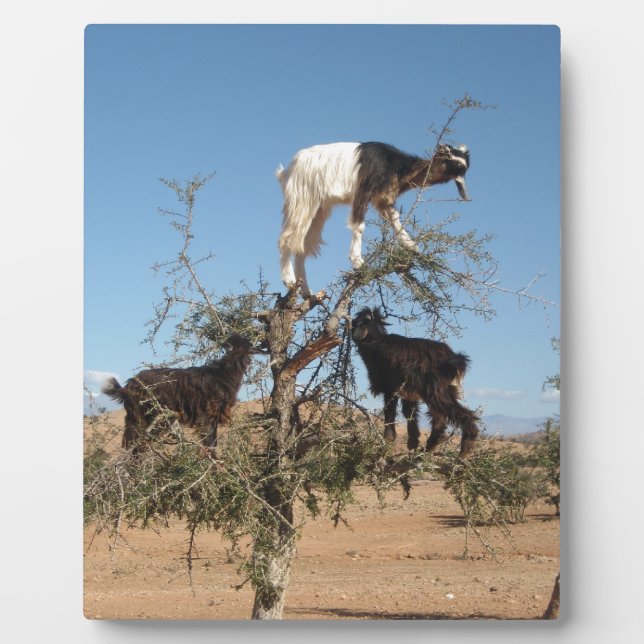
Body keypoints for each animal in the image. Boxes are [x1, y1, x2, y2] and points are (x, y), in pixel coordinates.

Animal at [102, 334, 261, 452]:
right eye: (248, 345)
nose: (261, 347)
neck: (223, 373)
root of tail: (127, 386)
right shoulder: (206, 417)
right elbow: (210, 445)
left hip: (135, 419)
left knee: (130, 445)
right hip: (146, 418)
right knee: (136, 446)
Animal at [277, 141, 470, 296]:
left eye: (463, 164)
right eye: (451, 157)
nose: (463, 188)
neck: (397, 166)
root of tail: (288, 170)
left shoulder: (382, 198)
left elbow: (394, 218)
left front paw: (411, 246)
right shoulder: (364, 190)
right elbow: (359, 225)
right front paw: (358, 262)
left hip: (320, 208)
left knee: (301, 245)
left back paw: (306, 291)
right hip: (303, 198)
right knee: (287, 238)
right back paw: (289, 280)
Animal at [351, 307, 478, 460]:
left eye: (359, 320)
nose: (351, 322)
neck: (376, 341)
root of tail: (453, 358)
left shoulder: (390, 388)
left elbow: (390, 414)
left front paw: (387, 442)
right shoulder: (407, 391)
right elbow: (410, 413)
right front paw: (413, 443)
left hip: (435, 391)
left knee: (458, 415)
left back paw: (464, 451)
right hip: (445, 389)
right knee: (440, 419)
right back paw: (428, 448)